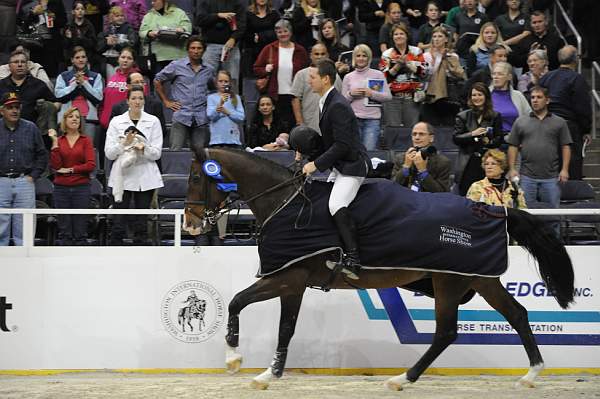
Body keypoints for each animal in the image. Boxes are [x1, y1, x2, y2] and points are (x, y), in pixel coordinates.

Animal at [184, 147, 576, 390]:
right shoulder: (292, 282)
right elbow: (282, 327)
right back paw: (530, 375)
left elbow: (241, 304)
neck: (285, 203)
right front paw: (268, 373)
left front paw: (237, 360)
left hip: (451, 283)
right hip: (479, 280)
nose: (189, 224)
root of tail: (495, 210)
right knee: (515, 315)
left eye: (195, 179)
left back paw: (402, 379)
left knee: (447, 332)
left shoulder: (286, 277)